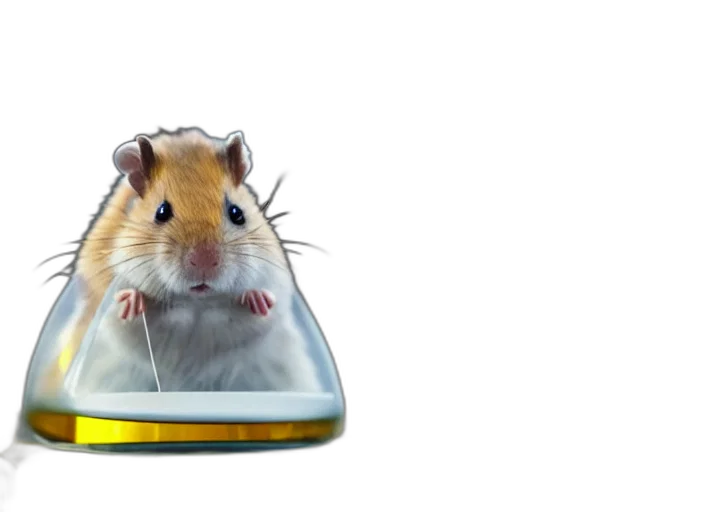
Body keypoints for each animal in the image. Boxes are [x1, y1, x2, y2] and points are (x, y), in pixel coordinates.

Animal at [59, 128, 322, 394]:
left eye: (237, 214)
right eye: (161, 212)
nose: (205, 262)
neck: (197, 305)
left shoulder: (274, 273)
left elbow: (267, 298)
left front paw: (259, 300)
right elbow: (119, 305)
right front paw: (131, 301)